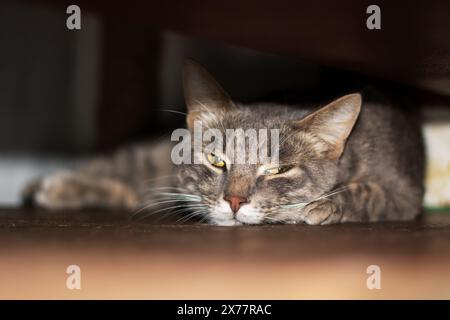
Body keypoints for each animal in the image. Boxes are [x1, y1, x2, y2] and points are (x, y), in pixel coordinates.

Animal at [22, 59, 424, 225]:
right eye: (217, 160)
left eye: (278, 170)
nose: (233, 202)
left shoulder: (404, 191)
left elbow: (366, 192)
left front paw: (321, 205)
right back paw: (48, 185)